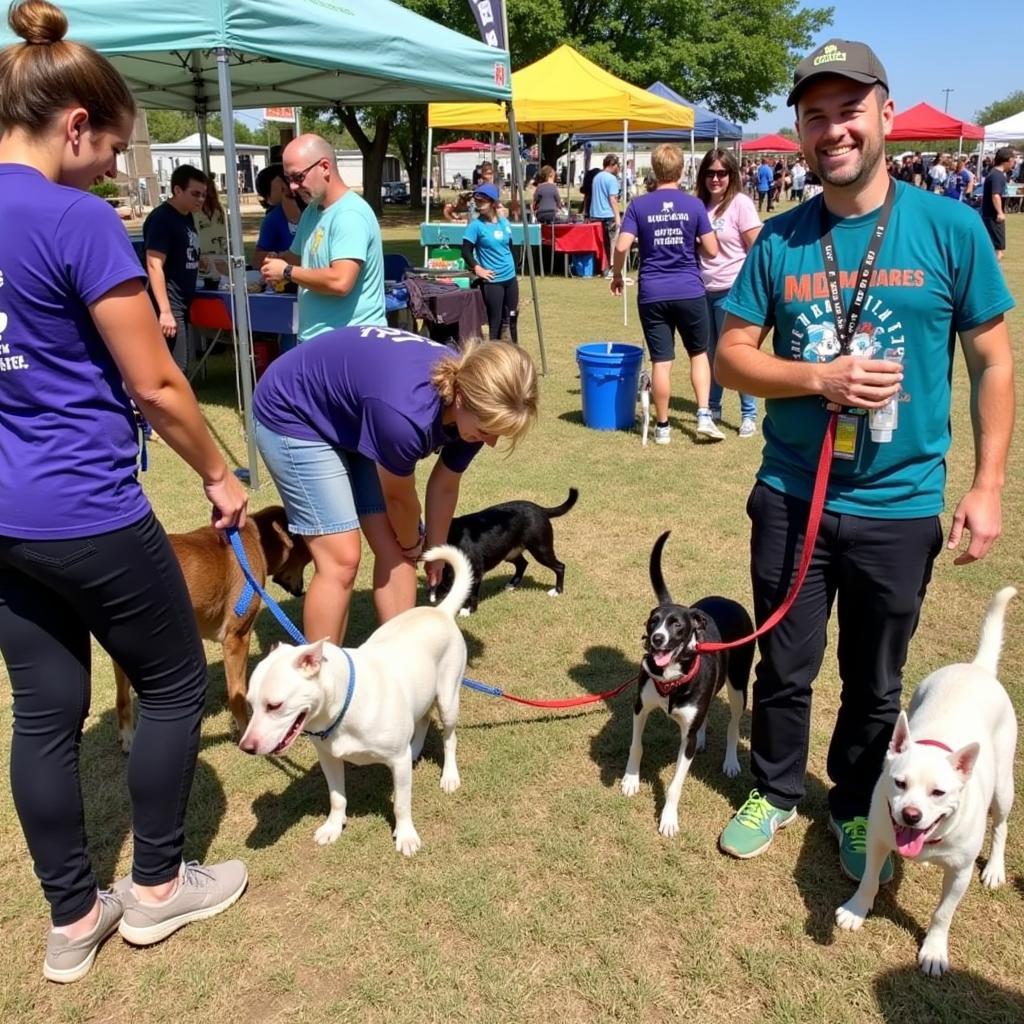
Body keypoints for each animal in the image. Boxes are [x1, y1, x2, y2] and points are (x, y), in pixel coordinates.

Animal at [114, 505, 309, 753]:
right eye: (307, 559)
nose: (302, 590)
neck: (254, 538)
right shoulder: (237, 639)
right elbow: (237, 694)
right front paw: (244, 731)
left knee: (122, 700)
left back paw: (128, 739)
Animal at [428, 487, 581, 614]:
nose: (433, 600)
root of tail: (541, 509)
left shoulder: (475, 572)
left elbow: (472, 593)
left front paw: (468, 610)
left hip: (541, 550)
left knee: (560, 567)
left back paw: (557, 591)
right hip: (511, 553)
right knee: (522, 564)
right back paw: (512, 584)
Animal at [618, 532, 757, 835]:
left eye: (677, 626)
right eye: (652, 622)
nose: (657, 638)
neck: (671, 679)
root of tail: (728, 600)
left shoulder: (687, 738)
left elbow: (675, 784)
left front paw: (669, 819)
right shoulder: (640, 707)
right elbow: (636, 745)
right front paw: (631, 779)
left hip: (738, 686)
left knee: (733, 724)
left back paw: (730, 761)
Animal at [835, 585, 1019, 974]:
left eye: (939, 792)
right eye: (899, 783)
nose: (911, 815)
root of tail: (976, 668)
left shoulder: (960, 872)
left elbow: (943, 913)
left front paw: (934, 950)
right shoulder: (878, 837)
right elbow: (869, 879)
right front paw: (857, 911)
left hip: (1003, 786)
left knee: (1002, 825)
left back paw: (995, 869)